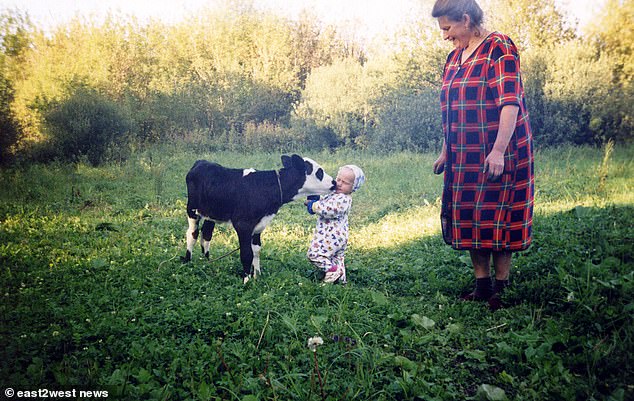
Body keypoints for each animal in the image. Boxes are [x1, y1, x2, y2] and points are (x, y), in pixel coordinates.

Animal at [181, 153, 336, 282]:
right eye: (319, 172)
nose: (334, 182)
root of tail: (201, 162)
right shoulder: (243, 224)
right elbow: (246, 253)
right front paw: (246, 280)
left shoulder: (259, 224)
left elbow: (256, 250)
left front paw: (257, 275)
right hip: (192, 209)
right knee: (192, 233)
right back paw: (188, 261)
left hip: (211, 213)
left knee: (206, 234)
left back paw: (207, 261)